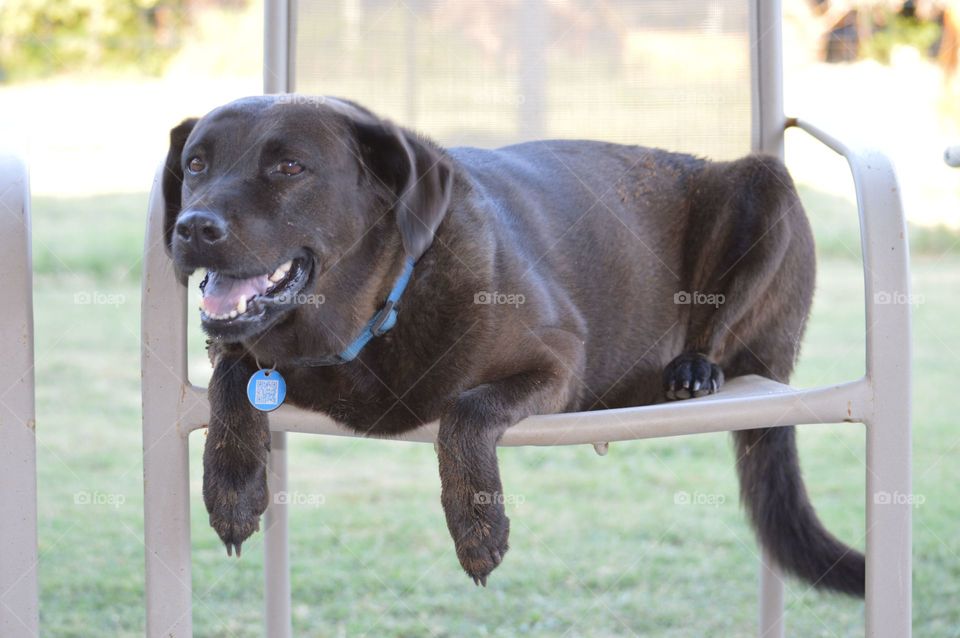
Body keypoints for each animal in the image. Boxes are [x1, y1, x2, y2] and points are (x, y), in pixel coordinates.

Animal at [161, 95, 868, 596]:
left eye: (290, 167)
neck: (374, 318)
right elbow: (232, 373)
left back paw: (693, 370)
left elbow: (465, 412)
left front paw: (477, 530)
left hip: (765, 187)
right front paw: (231, 485)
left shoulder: (557, 362)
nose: (190, 227)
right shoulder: (241, 352)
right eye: (196, 164)